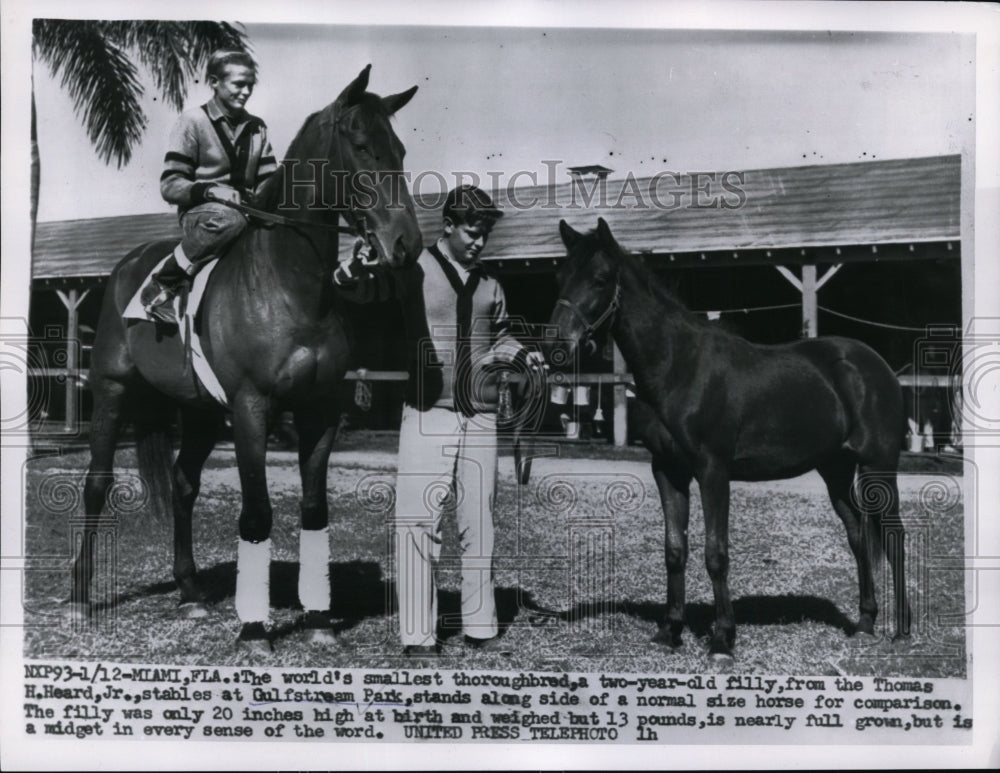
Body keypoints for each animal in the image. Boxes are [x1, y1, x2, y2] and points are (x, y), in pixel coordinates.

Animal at [71, 66, 422, 648]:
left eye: (400, 149)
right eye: (361, 146)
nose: (406, 243)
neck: (289, 286)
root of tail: (128, 266)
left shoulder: (320, 411)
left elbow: (314, 511)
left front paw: (319, 621)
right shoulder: (252, 409)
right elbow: (256, 515)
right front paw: (255, 628)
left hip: (199, 412)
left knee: (183, 485)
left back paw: (190, 590)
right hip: (112, 393)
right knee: (96, 485)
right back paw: (80, 596)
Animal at [548, 219, 916, 664]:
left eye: (600, 279)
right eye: (560, 277)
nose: (555, 346)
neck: (680, 366)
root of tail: (875, 364)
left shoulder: (713, 470)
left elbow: (715, 553)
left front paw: (722, 640)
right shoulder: (667, 470)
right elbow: (675, 550)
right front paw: (669, 631)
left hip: (879, 466)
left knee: (894, 537)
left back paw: (902, 632)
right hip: (836, 469)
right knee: (859, 538)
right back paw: (864, 624)